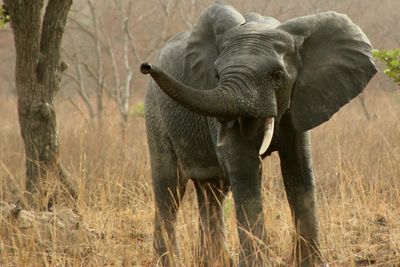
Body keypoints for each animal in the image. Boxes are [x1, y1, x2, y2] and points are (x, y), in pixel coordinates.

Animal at [140, 2, 376, 267]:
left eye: (277, 76)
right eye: (217, 75)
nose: (145, 67)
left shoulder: (301, 97)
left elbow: (299, 170)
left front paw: (312, 263)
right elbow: (244, 166)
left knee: (212, 190)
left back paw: (215, 261)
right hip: (155, 111)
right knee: (169, 188)